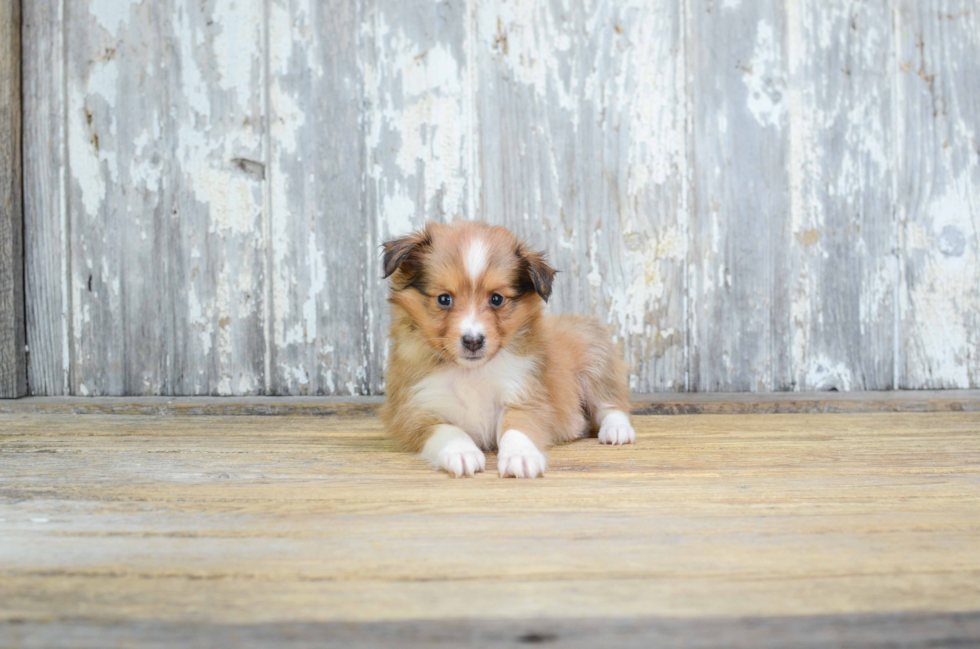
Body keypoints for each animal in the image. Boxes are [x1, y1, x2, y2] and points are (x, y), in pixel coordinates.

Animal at [376, 220, 636, 478]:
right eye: (443, 299)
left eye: (496, 299)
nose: (473, 341)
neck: (470, 372)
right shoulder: (415, 411)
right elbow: (447, 430)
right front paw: (462, 452)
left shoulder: (525, 394)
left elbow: (517, 426)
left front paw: (521, 456)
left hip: (595, 359)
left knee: (612, 404)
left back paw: (617, 431)